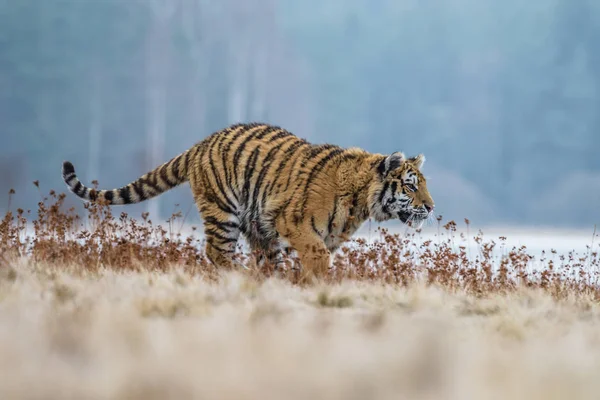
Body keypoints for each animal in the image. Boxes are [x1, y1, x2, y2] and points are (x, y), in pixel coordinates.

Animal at [62, 122, 436, 282]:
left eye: (423, 185)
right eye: (410, 186)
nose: (431, 207)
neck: (359, 201)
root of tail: (201, 143)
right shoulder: (296, 224)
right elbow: (318, 258)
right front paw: (318, 282)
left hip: (258, 228)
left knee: (257, 259)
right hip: (222, 211)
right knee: (217, 253)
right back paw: (241, 276)